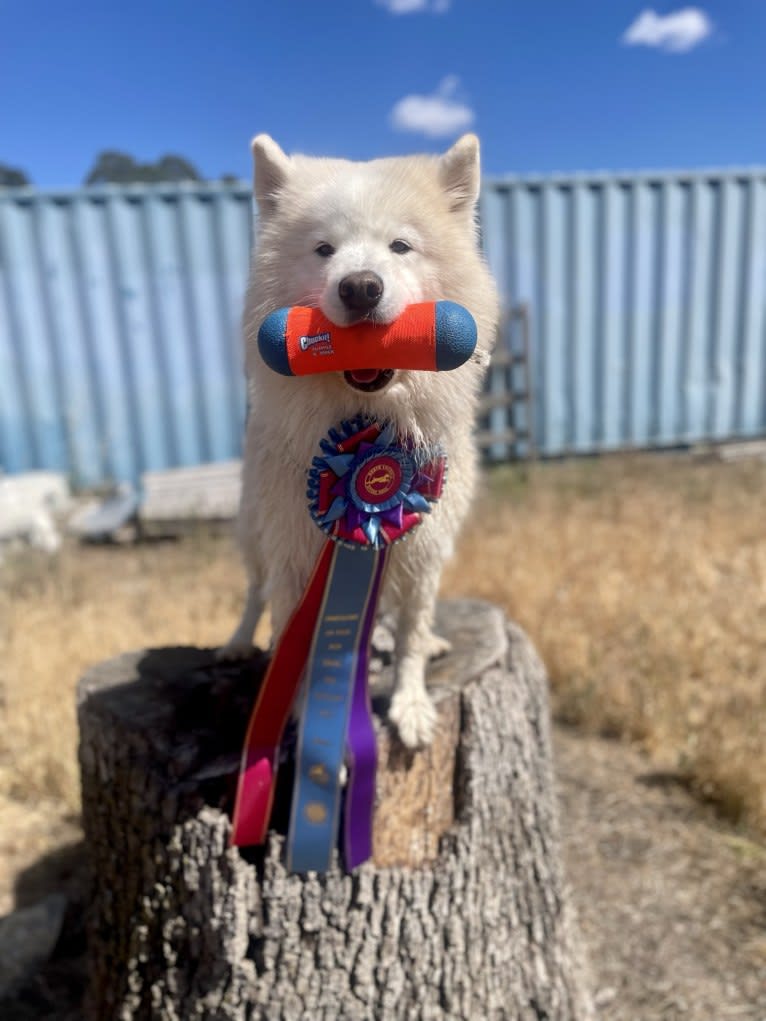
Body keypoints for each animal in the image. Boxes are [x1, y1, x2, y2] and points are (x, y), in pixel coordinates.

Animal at [223, 131, 498, 747]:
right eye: (324, 250)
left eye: (401, 246)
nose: (360, 287)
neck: (368, 429)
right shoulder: (296, 554)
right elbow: (294, 640)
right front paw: (301, 715)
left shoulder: (420, 544)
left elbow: (413, 632)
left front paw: (410, 704)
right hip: (253, 533)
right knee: (252, 593)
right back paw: (237, 644)